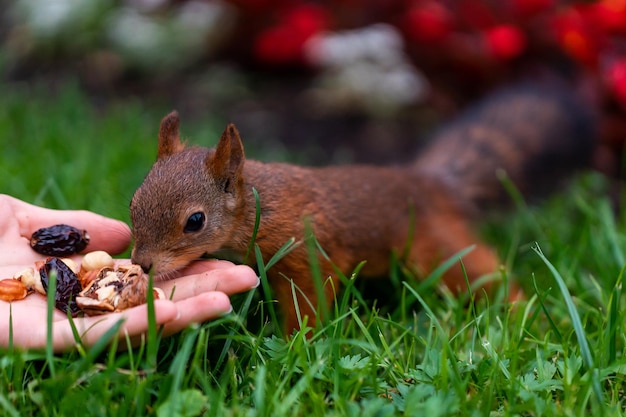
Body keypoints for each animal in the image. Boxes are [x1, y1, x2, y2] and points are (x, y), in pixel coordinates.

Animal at [129, 83, 596, 332]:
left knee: (482, 271)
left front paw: (297, 345)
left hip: (435, 248)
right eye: (133, 202)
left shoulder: (307, 253)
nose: (142, 264)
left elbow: (312, 300)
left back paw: (525, 315)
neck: (261, 205)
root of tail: (430, 184)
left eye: (195, 221)